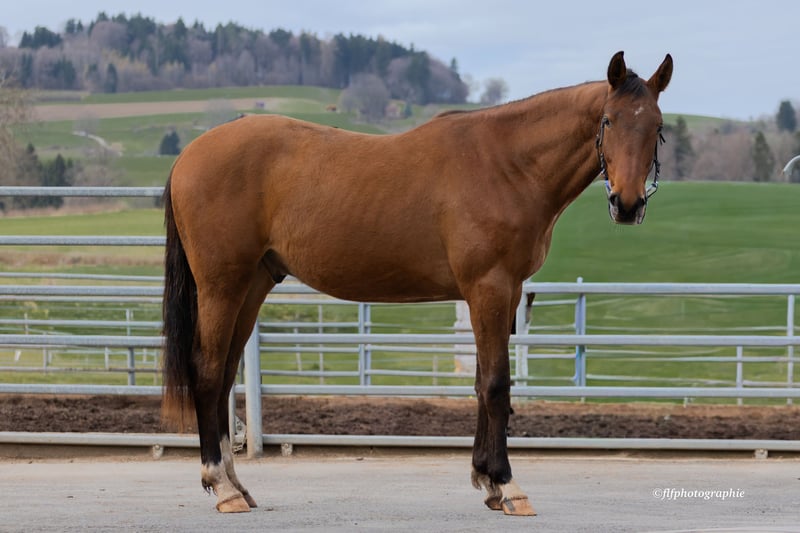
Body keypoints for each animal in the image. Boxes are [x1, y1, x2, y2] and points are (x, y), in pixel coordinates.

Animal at [161, 50, 672, 516]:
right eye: (608, 120)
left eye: (657, 126)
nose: (627, 204)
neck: (507, 164)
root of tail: (189, 156)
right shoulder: (489, 288)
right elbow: (496, 385)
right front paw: (507, 484)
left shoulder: (503, 294)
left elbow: (481, 384)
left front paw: (486, 480)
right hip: (222, 286)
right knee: (208, 373)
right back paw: (221, 487)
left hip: (251, 286)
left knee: (225, 375)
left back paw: (236, 484)